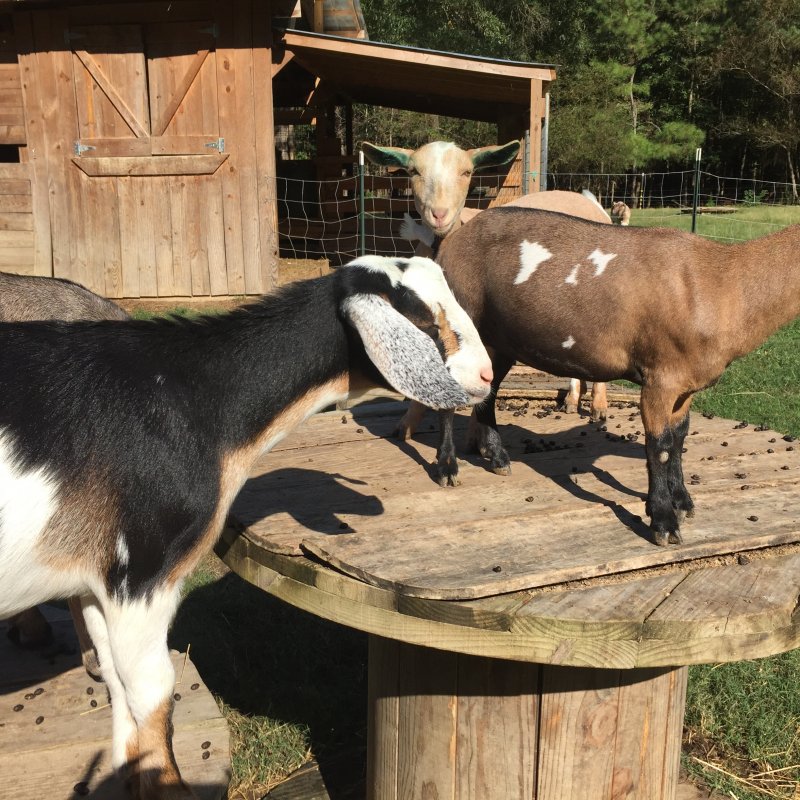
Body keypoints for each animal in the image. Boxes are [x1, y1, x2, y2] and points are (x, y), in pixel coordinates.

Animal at [0, 258, 490, 800]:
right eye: (426, 319)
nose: (487, 375)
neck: (191, 396)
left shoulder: (97, 583)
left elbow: (118, 691)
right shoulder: (143, 575)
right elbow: (153, 692)